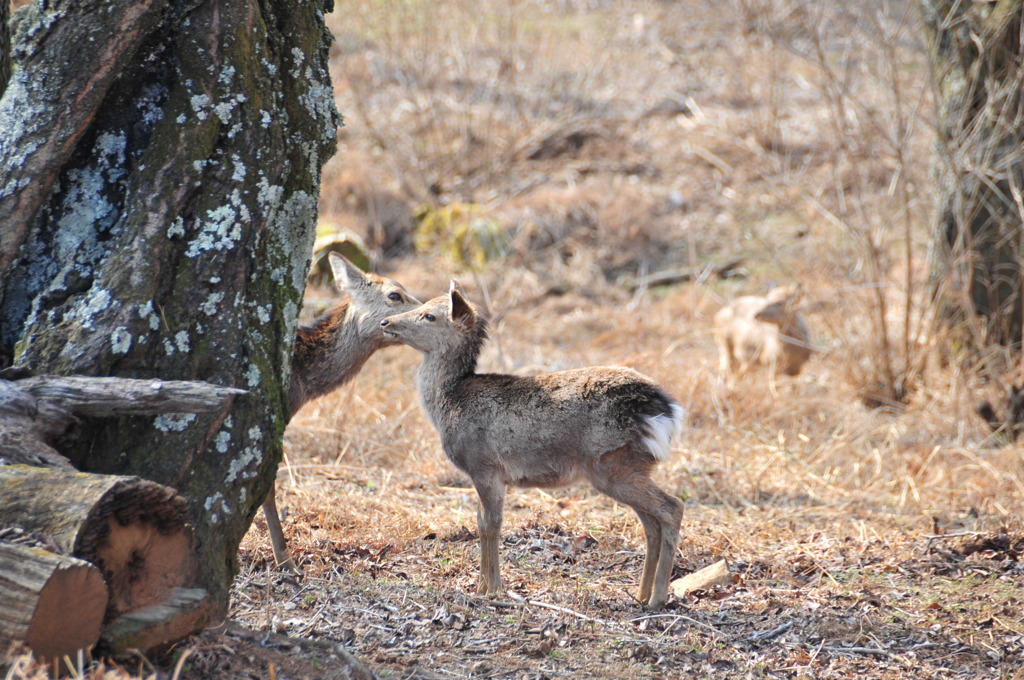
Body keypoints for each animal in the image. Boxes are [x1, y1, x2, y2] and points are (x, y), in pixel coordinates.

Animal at [380, 284, 684, 606]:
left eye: (429, 315)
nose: (386, 322)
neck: (448, 404)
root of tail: (666, 412)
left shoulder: (484, 465)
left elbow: (490, 524)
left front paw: (490, 589)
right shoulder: (486, 474)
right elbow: (480, 522)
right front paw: (482, 586)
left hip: (614, 465)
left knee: (672, 507)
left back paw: (658, 597)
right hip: (630, 468)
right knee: (651, 524)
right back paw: (640, 594)